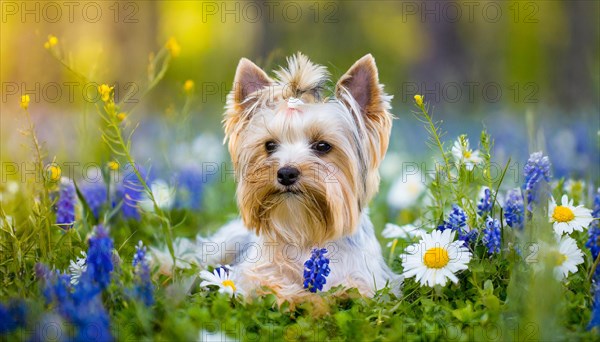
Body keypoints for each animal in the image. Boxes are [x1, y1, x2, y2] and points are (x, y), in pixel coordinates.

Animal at [206, 53, 404, 304]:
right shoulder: (253, 273)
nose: (286, 173)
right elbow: (268, 284)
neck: (303, 230)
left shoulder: (370, 280)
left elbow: (355, 289)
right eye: (269, 145)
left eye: (322, 146)